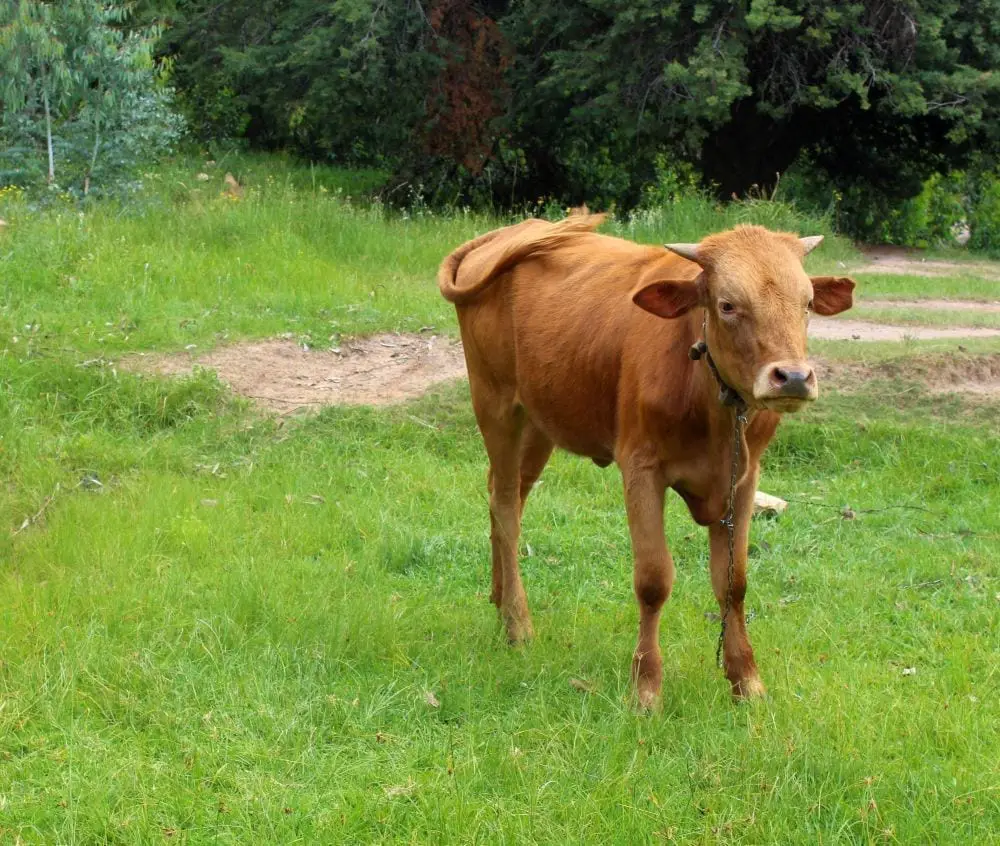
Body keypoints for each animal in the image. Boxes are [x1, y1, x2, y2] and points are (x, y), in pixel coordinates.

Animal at [437, 214, 855, 705]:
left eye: (807, 303)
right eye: (728, 305)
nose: (791, 377)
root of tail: (508, 233)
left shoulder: (745, 477)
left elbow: (733, 582)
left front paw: (746, 680)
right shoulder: (640, 467)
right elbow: (653, 580)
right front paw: (646, 687)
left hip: (540, 422)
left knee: (507, 498)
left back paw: (500, 600)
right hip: (496, 405)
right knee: (505, 506)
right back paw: (518, 624)